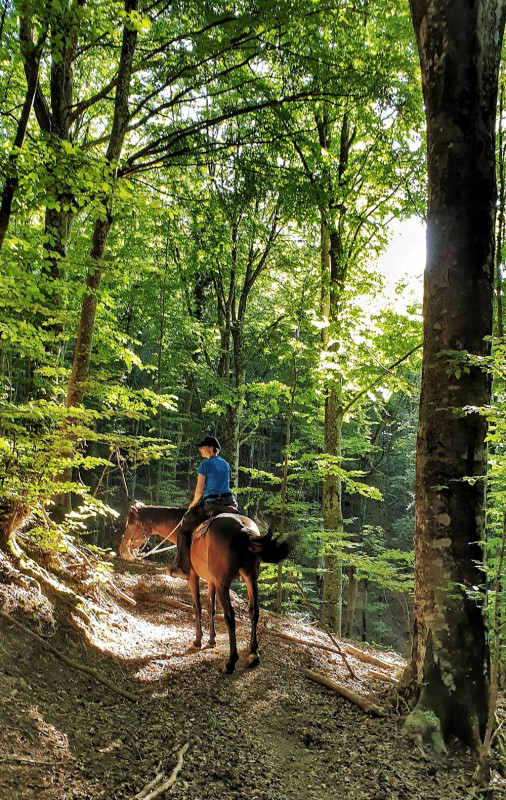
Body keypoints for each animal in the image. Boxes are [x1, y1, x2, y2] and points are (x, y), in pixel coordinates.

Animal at [118, 504, 288, 672]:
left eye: (130, 524)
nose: (122, 549)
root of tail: (243, 530)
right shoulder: (211, 581)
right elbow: (211, 608)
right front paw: (212, 639)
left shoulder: (193, 576)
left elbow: (197, 606)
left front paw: (198, 639)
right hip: (250, 579)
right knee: (254, 612)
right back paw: (253, 653)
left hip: (223, 584)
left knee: (230, 615)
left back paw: (231, 660)